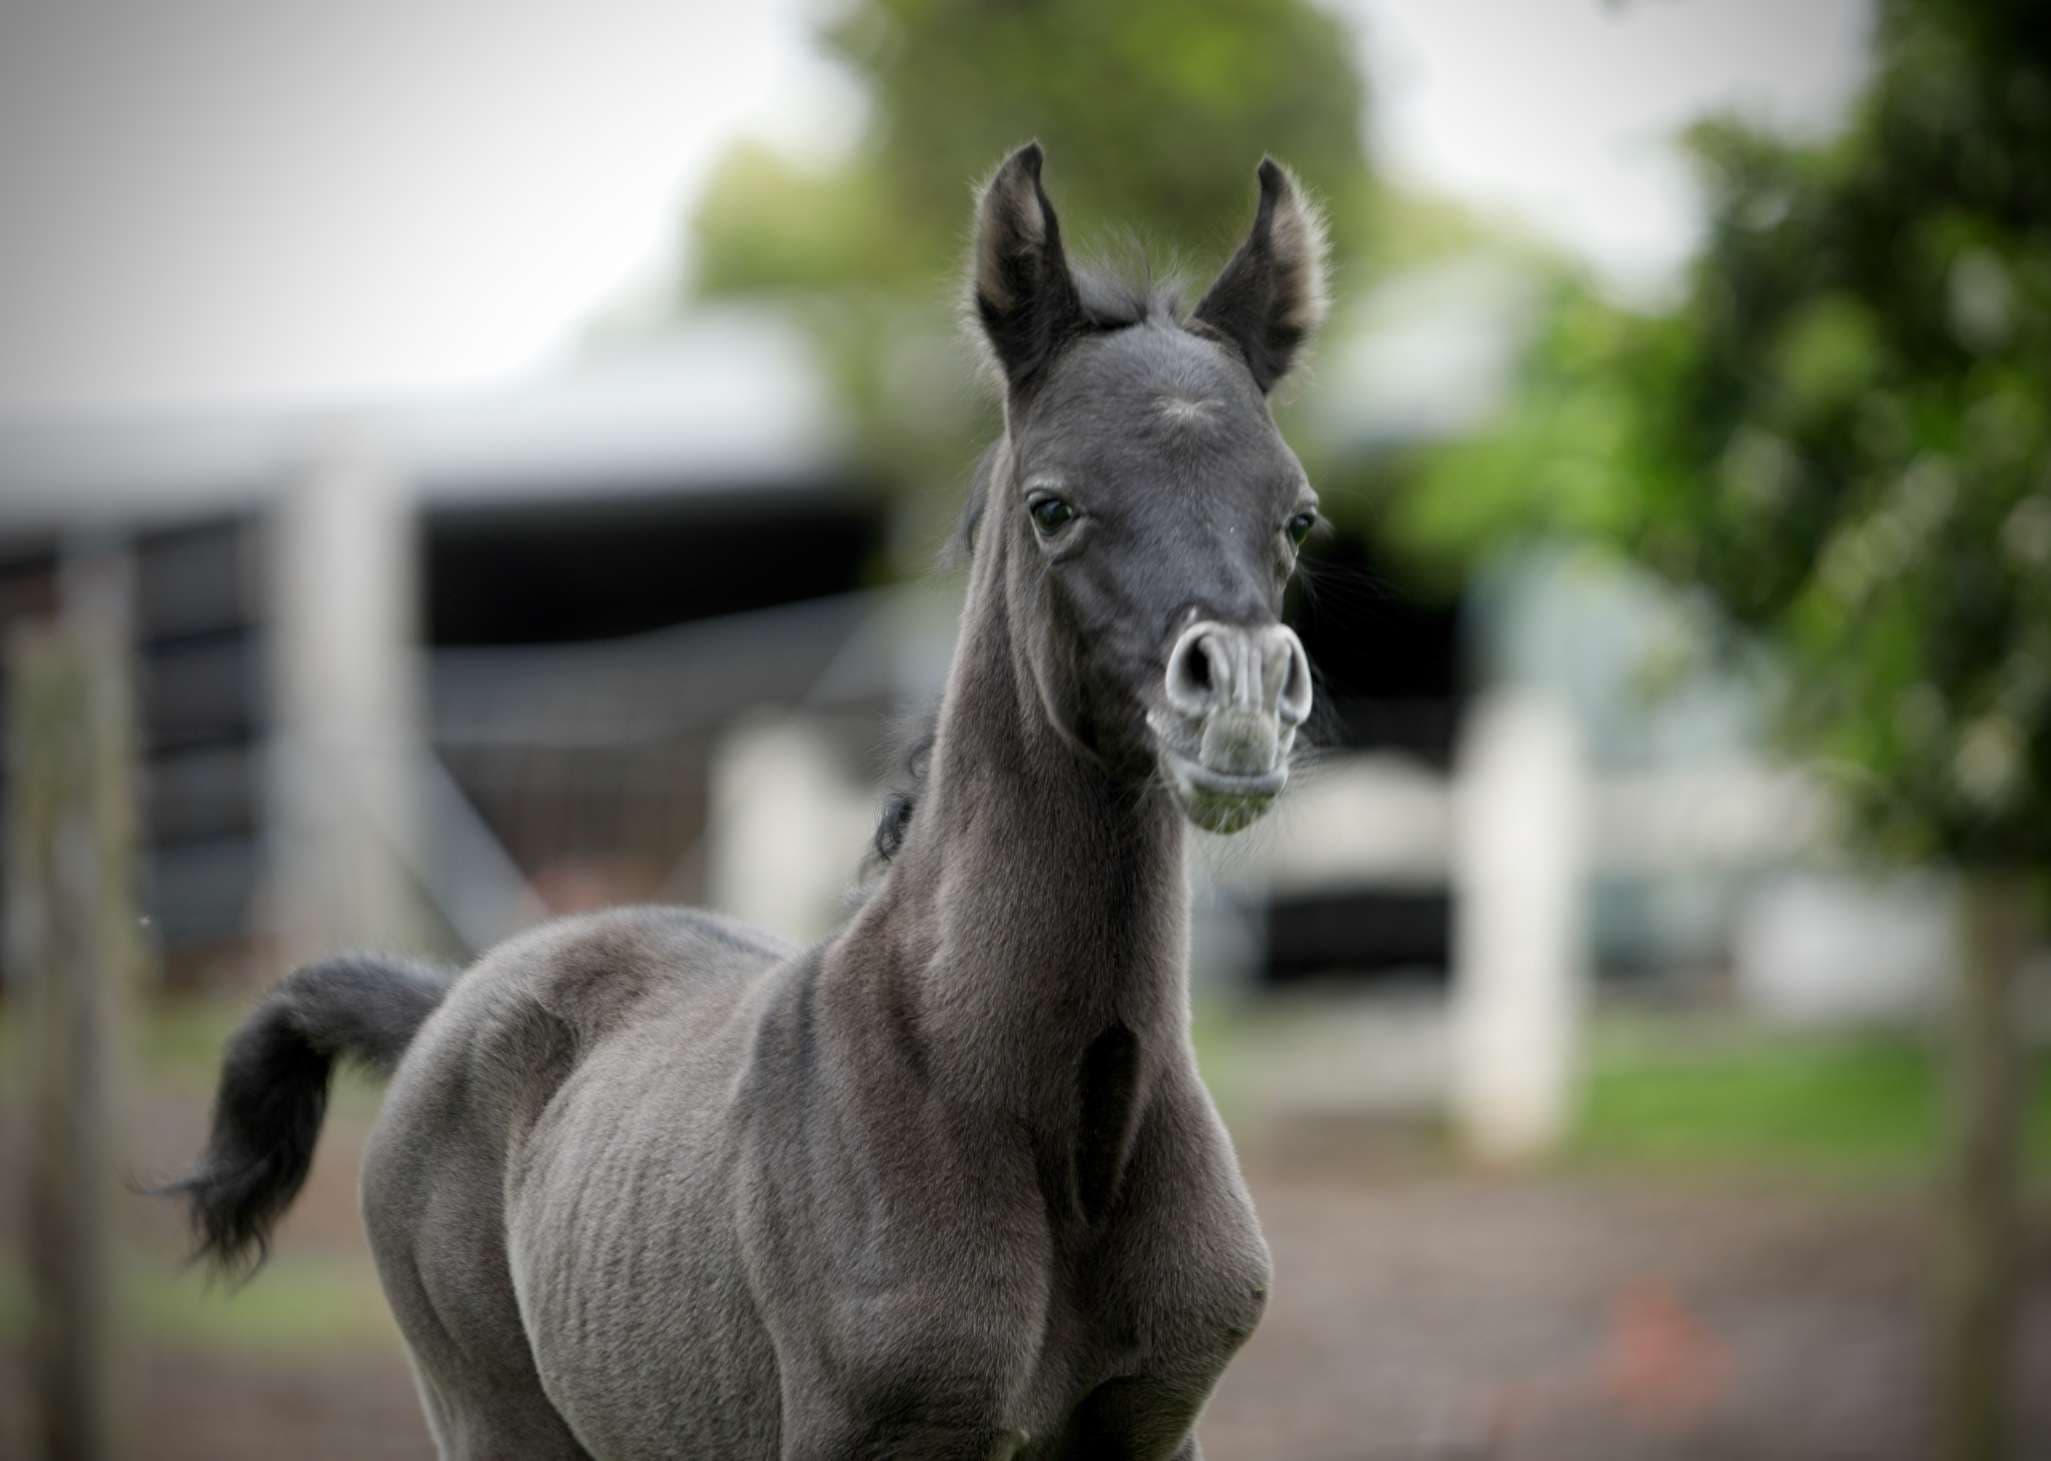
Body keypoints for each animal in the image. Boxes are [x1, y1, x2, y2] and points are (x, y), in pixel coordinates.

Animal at [172, 145, 1329, 1460]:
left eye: (1295, 516)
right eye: (1053, 505)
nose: (1240, 699)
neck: (1060, 1131)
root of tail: (441, 1005)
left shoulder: (1154, 1425)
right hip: (490, 1418)